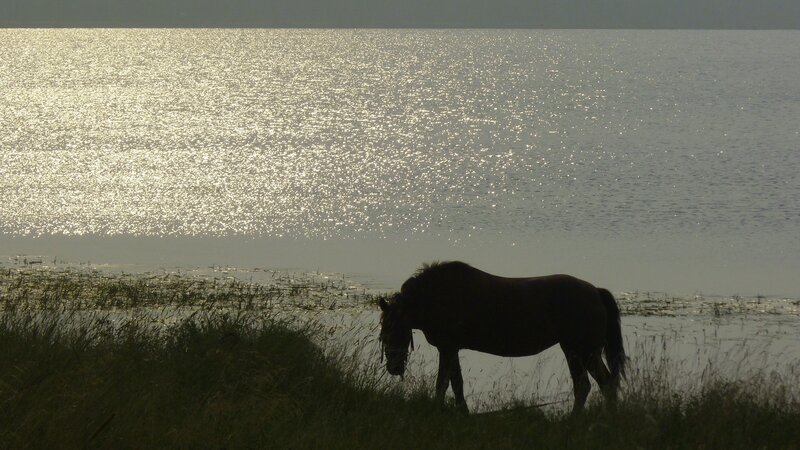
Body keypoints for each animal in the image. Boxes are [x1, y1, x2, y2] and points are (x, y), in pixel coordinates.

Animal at [378, 261, 626, 413]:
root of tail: (596, 292)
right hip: (581, 352)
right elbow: (456, 384)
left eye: (396, 330)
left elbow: (444, 384)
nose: (394, 368)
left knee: (590, 385)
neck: (436, 297)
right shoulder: (451, 349)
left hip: (579, 351)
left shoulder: (447, 348)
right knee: (600, 384)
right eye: (383, 334)